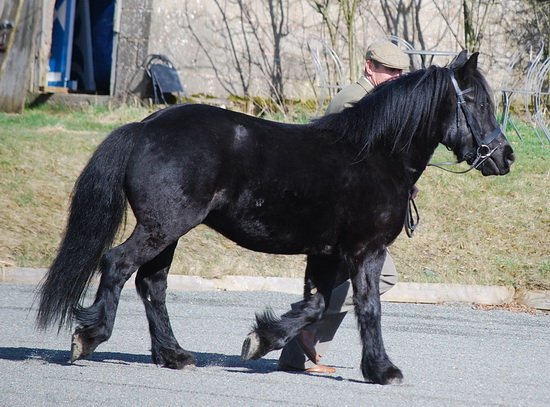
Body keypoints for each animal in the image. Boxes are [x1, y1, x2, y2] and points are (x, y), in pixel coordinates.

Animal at [37, 51, 512, 386]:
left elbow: (316, 304)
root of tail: (146, 125)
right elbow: (368, 307)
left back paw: (175, 356)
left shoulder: (326, 254)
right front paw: (383, 370)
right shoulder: (365, 251)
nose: (505, 156)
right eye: (476, 100)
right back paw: (89, 337)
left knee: (152, 285)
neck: (374, 154)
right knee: (117, 265)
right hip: (162, 228)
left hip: (167, 232)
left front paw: (264, 340)